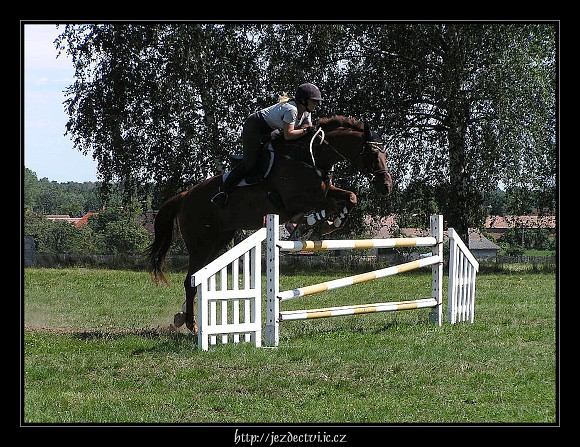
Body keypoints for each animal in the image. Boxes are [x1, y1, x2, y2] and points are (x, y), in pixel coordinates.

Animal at [145, 115, 394, 332]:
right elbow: (327, 205)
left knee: (197, 278)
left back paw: (182, 317)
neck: (310, 157)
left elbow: (350, 197)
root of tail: (185, 196)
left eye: (385, 153)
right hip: (200, 244)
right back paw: (191, 324)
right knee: (190, 280)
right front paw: (316, 222)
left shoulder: (324, 190)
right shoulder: (296, 200)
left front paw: (330, 223)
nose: (386, 187)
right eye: (373, 153)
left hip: (218, 241)